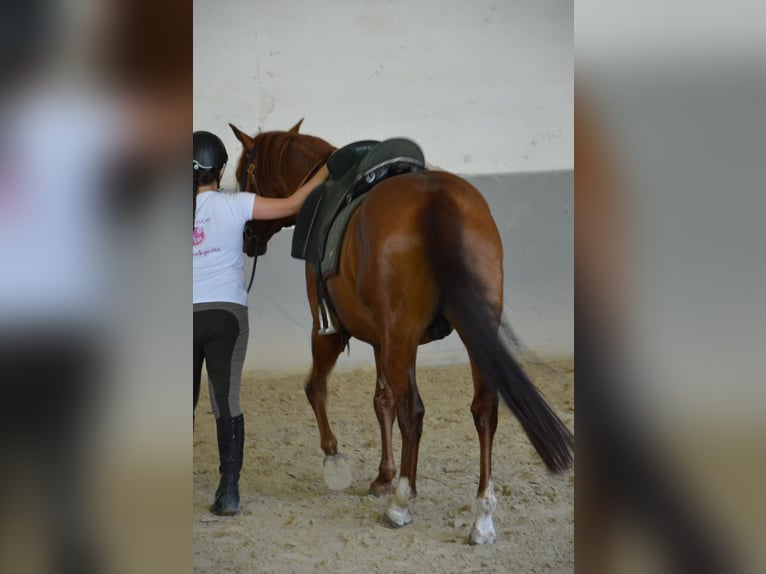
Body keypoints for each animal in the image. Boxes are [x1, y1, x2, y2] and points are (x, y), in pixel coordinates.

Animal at [231, 120, 572, 544]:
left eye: (242, 175)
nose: (246, 236)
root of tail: (436, 200)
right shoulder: (382, 338)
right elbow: (383, 401)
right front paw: (383, 476)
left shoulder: (329, 331)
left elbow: (320, 389)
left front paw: (338, 461)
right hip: (471, 335)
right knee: (484, 410)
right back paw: (482, 516)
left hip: (401, 337)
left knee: (415, 410)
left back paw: (401, 504)